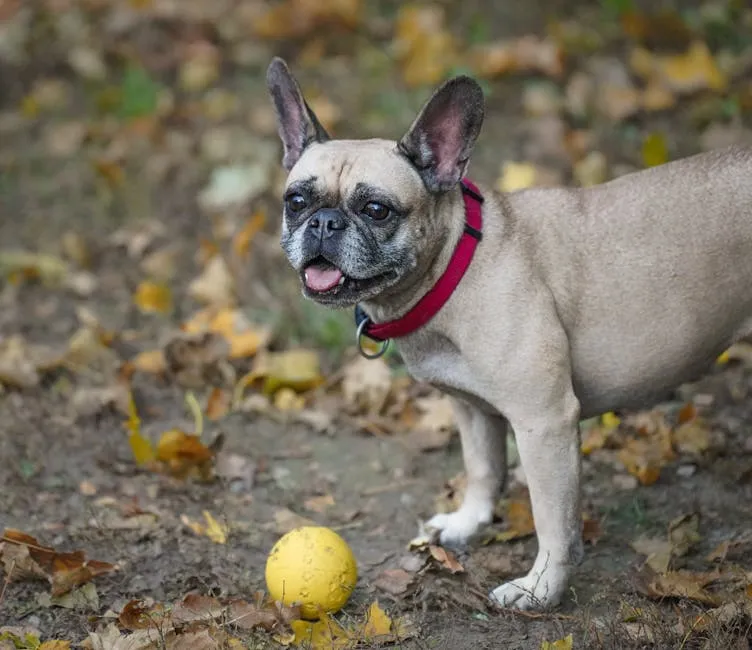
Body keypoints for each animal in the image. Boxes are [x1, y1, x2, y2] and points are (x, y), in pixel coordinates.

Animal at [262, 55, 752, 608]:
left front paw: (540, 589)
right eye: (296, 201)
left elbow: (552, 518)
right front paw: (467, 524)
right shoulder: (472, 409)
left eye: (376, 210)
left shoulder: (545, 422)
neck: (456, 264)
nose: (324, 222)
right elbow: (483, 469)